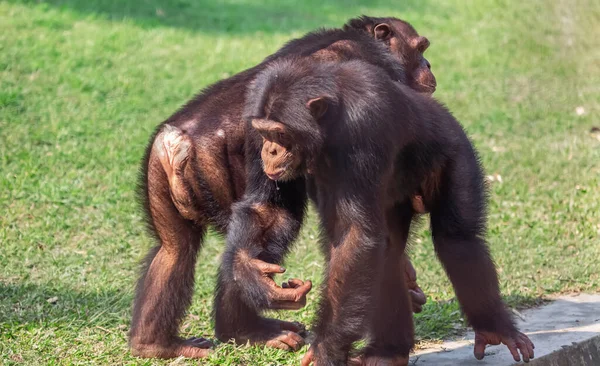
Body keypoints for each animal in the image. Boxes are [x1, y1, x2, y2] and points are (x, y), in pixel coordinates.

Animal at [130, 15, 436, 358]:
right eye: (420, 48)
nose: (428, 64)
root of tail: (178, 143)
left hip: (158, 172)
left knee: (178, 248)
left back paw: (159, 343)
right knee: (269, 227)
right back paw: (251, 330)